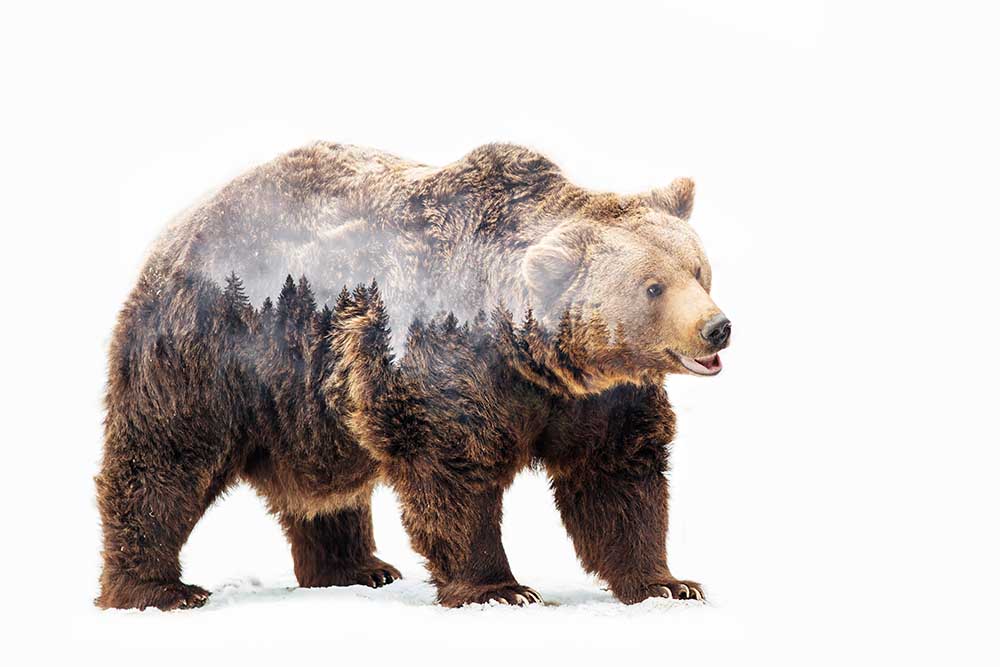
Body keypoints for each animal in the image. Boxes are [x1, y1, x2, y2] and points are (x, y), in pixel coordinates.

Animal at [95, 142, 731, 609]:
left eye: (699, 270)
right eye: (653, 287)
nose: (717, 328)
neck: (534, 357)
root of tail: (179, 225)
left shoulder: (597, 399)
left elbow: (617, 478)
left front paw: (668, 582)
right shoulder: (443, 362)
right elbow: (453, 473)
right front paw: (501, 589)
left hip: (307, 401)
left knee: (326, 491)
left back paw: (356, 568)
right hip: (211, 350)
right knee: (166, 459)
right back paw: (158, 588)